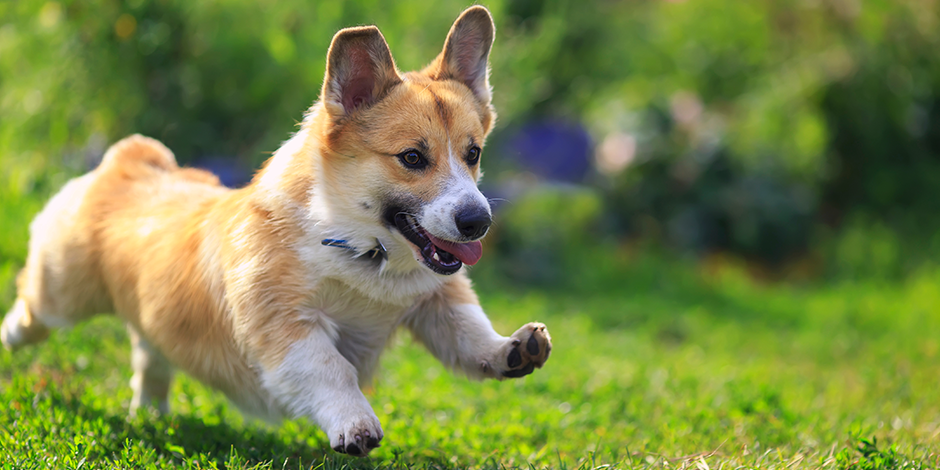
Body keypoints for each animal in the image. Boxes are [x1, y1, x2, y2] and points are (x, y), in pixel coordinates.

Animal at [1, 5, 552, 458]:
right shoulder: (286, 324)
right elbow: (332, 368)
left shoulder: (438, 301)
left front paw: (514, 350)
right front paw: (355, 424)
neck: (360, 250)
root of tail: (134, 160)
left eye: (473, 153)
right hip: (61, 291)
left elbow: (470, 335)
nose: (478, 222)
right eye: (413, 158)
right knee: (32, 309)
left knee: (150, 353)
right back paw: (12, 335)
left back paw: (151, 413)